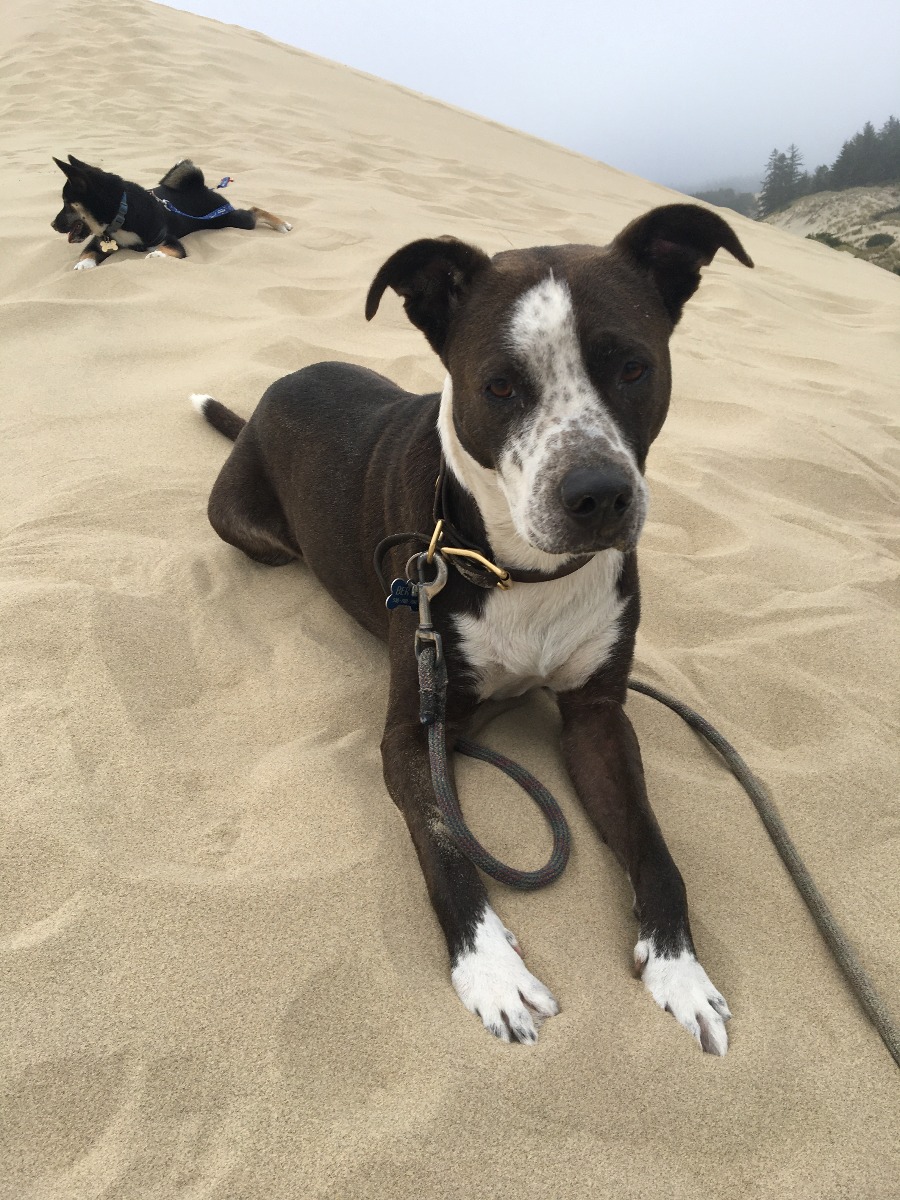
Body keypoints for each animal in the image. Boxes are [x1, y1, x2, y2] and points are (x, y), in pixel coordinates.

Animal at [51, 154, 292, 270]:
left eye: (66, 202)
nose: (52, 225)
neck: (123, 212)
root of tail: (200, 187)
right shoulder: (100, 241)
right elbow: (88, 253)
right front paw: (83, 264)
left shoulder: (168, 239)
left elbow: (171, 250)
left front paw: (158, 254)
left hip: (227, 218)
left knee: (253, 211)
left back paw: (282, 224)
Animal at [192, 204, 753, 1051]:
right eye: (501, 385)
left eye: (633, 368)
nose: (597, 495)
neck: (522, 570)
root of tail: (269, 394)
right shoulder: (411, 733)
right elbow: (446, 839)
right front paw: (492, 970)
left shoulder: (598, 720)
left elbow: (656, 849)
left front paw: (679, 967)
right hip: (248, 527)